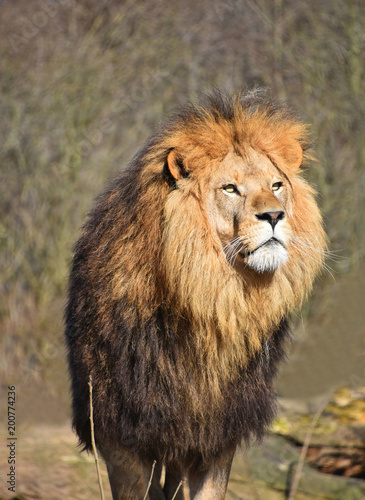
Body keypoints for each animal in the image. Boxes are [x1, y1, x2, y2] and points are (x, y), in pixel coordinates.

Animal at [64, 88, 324, 498]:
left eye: (276, 185)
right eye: (230, 188)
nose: (274, 215)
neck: (214, 298)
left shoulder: (217, 435)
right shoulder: (121, 435)